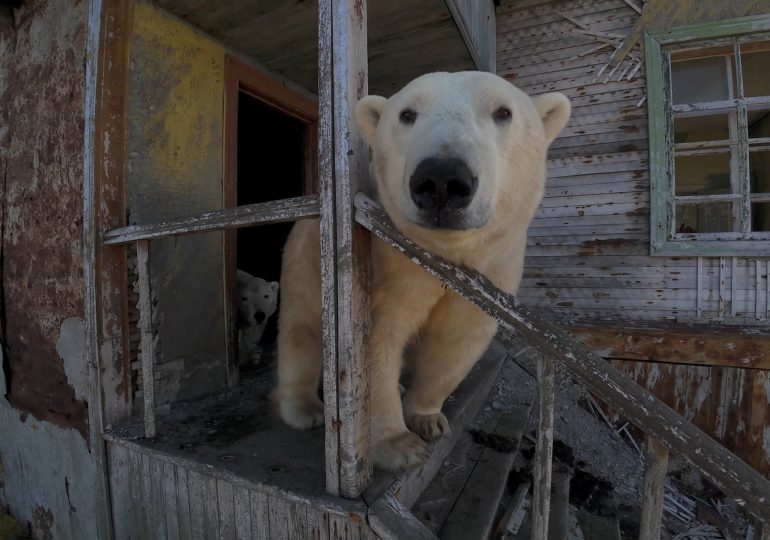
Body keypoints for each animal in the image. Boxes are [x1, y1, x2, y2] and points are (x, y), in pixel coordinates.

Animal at [274, 71, 570, 470]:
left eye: (503, 112)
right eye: (407, 114)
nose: (442, 179)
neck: (443, 253)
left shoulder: (492, 269)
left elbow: (456, 342)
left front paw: (427, 419)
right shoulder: (388, 269)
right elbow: (375, 343)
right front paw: (400, 445)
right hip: (302, 265)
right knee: (300, 334)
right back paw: (305, 409)